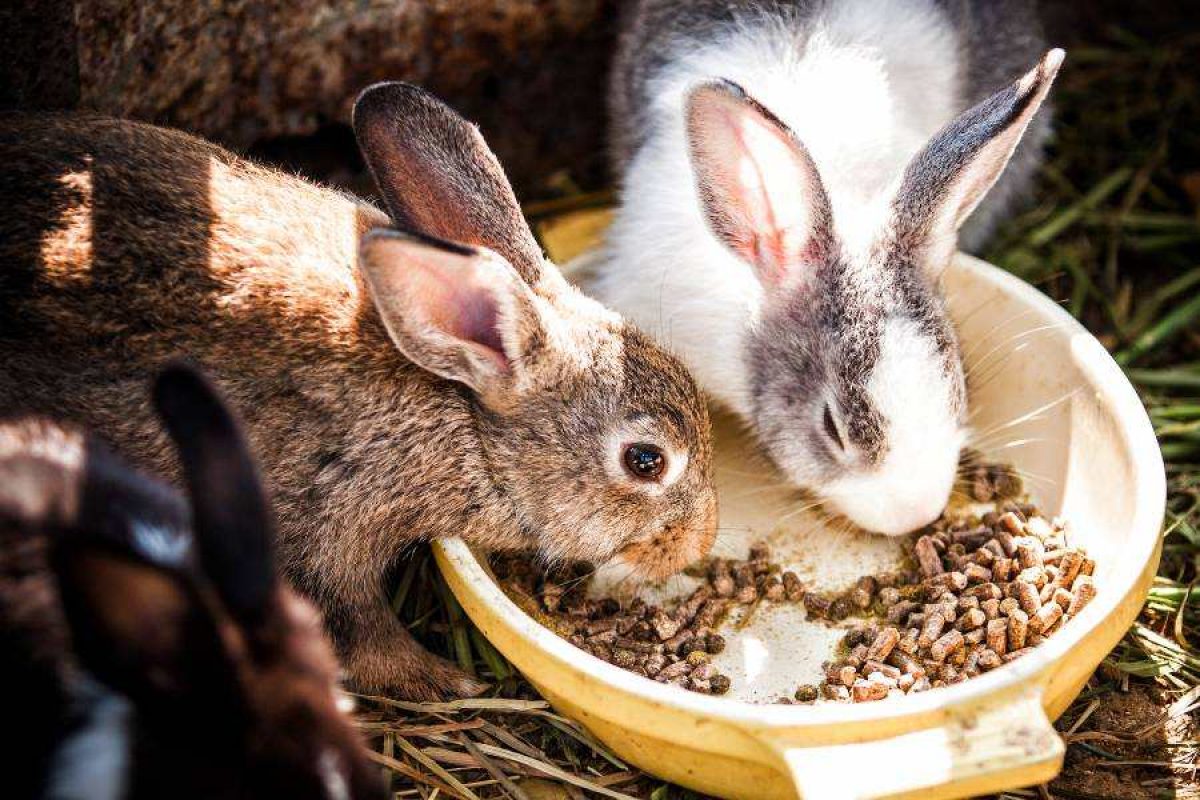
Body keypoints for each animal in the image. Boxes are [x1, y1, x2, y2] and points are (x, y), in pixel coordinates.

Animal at [0, 84, 715, 700]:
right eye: (645, 460)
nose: (700, 541)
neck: (461, 410)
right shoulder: (320, 534)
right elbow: (357, 629)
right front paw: (440, 679)